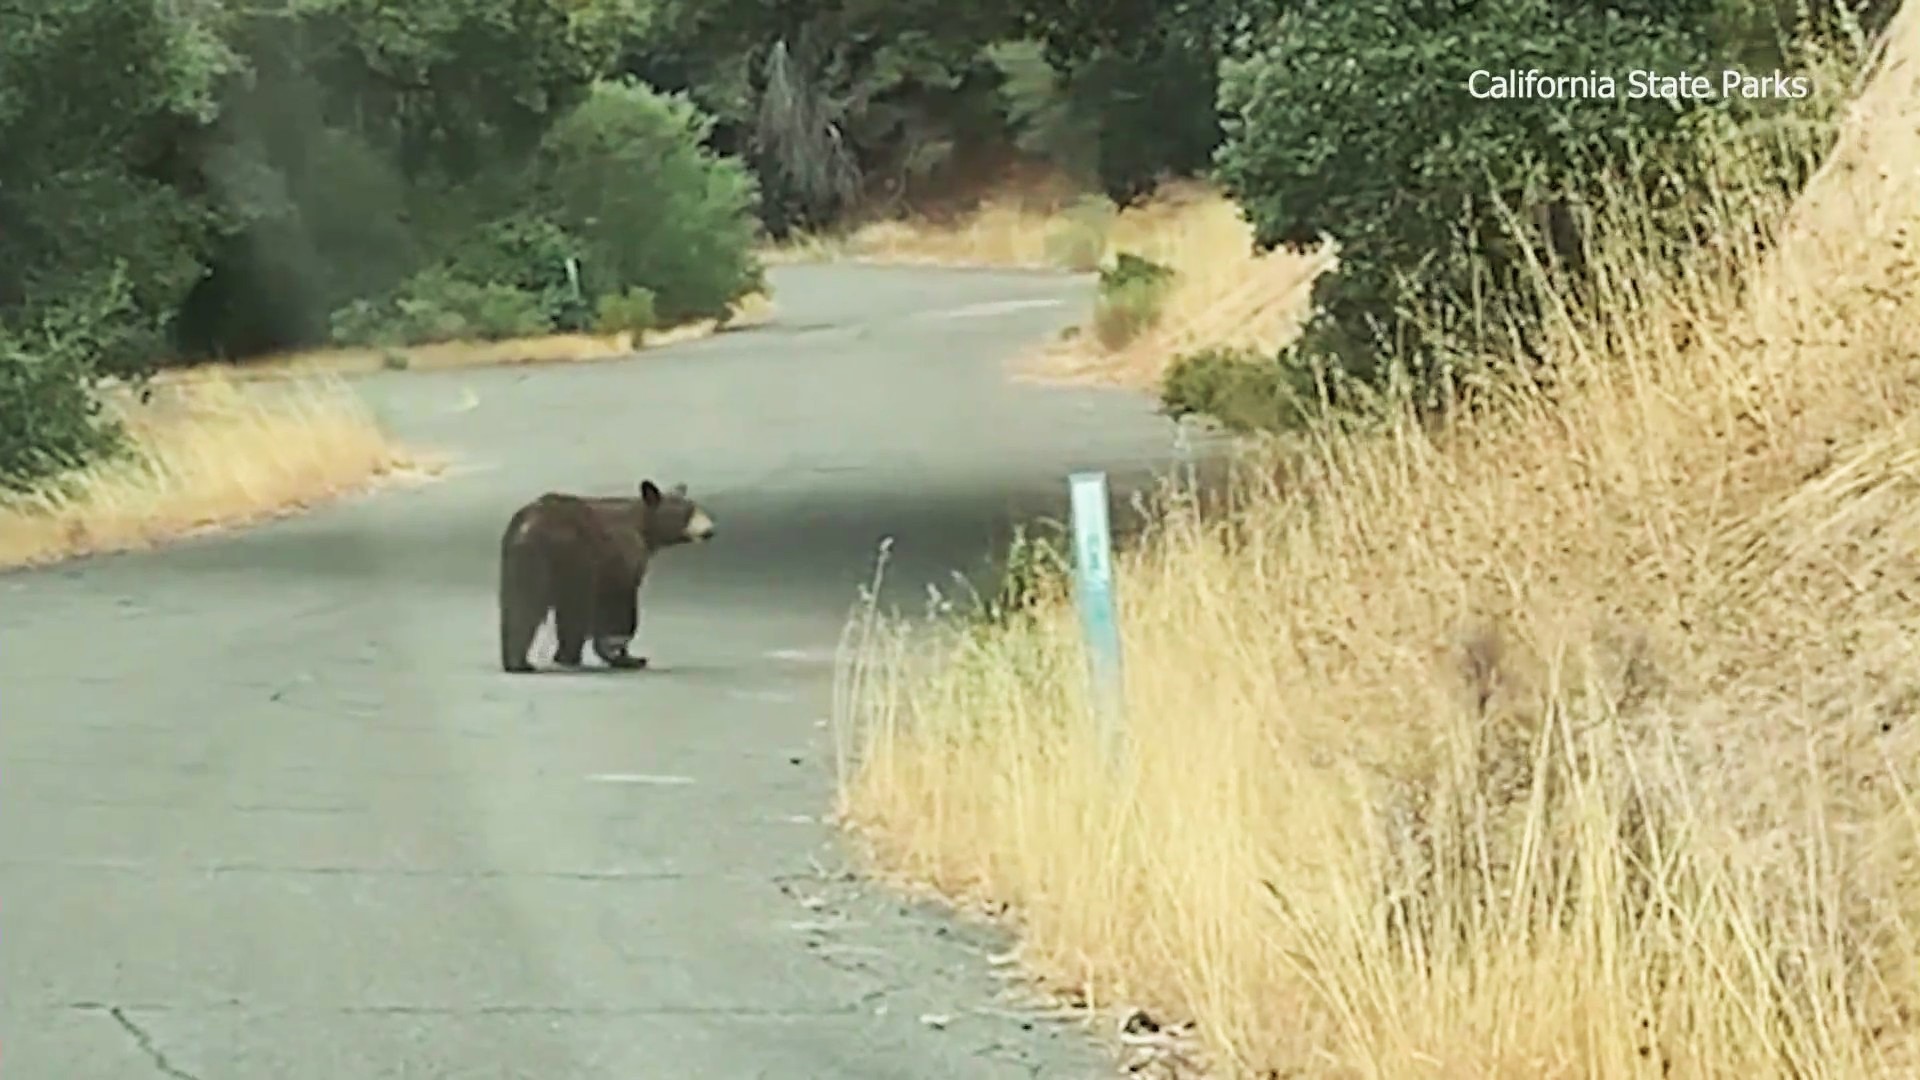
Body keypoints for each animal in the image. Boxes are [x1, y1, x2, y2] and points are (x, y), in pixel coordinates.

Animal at [495, 474, 714, 668]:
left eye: (696, 507)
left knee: (520, 605)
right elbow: (618, 603)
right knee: (554, 606)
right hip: (565, 559)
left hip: (520, 561)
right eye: (688, 512)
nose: (710, 530)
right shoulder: (620, 558)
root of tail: (525, 529)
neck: (642, 527)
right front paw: (622, 653)